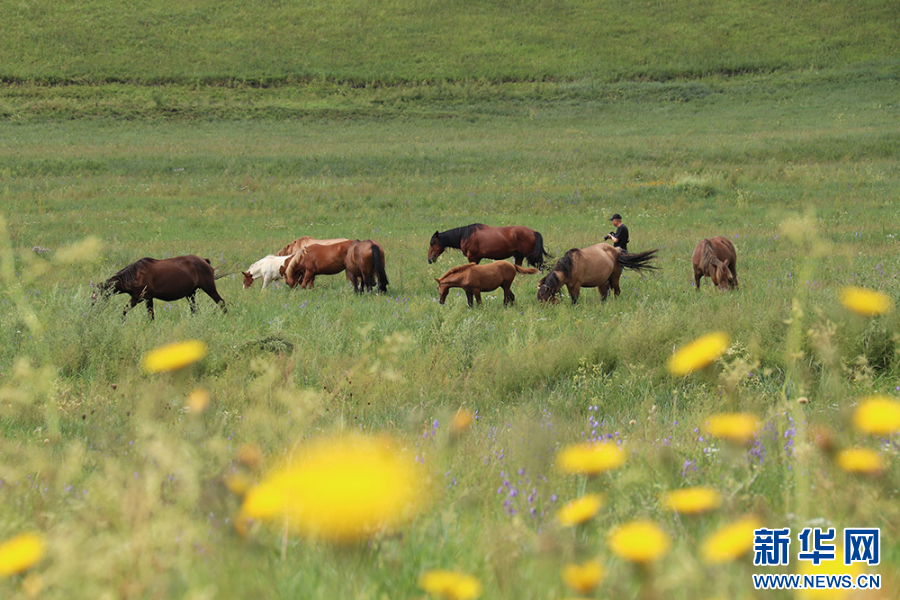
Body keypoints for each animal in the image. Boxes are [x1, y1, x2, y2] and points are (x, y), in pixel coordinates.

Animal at [94, 253, 227, 318]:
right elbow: (124, 311)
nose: (93, 308)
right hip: (191, 294)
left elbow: (150, 316)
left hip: (209, 288)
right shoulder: (137, 298)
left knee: (221, 302)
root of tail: (205, 261)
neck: (136, 276)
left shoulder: (145, 298)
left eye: (98, 295)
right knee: (195, 310)